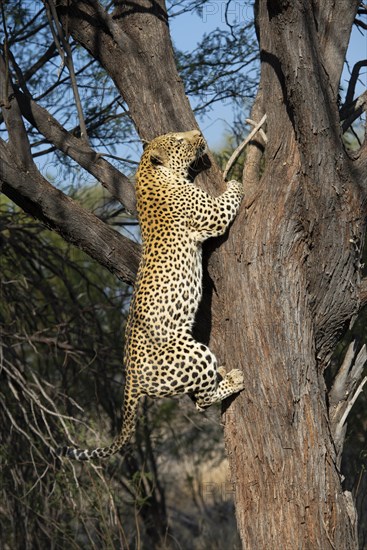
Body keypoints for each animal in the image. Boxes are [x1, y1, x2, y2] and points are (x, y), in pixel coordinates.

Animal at [57, 129, 246, 462]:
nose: (198, 133)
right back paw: (233, 380)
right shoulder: (211, 215)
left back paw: (223, 374)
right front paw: (236, 180)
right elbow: (226, 201)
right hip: (192, 353)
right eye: (179, 140)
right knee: (202, 401)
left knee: (197, 398)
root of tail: (130, 378)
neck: (149, 173)